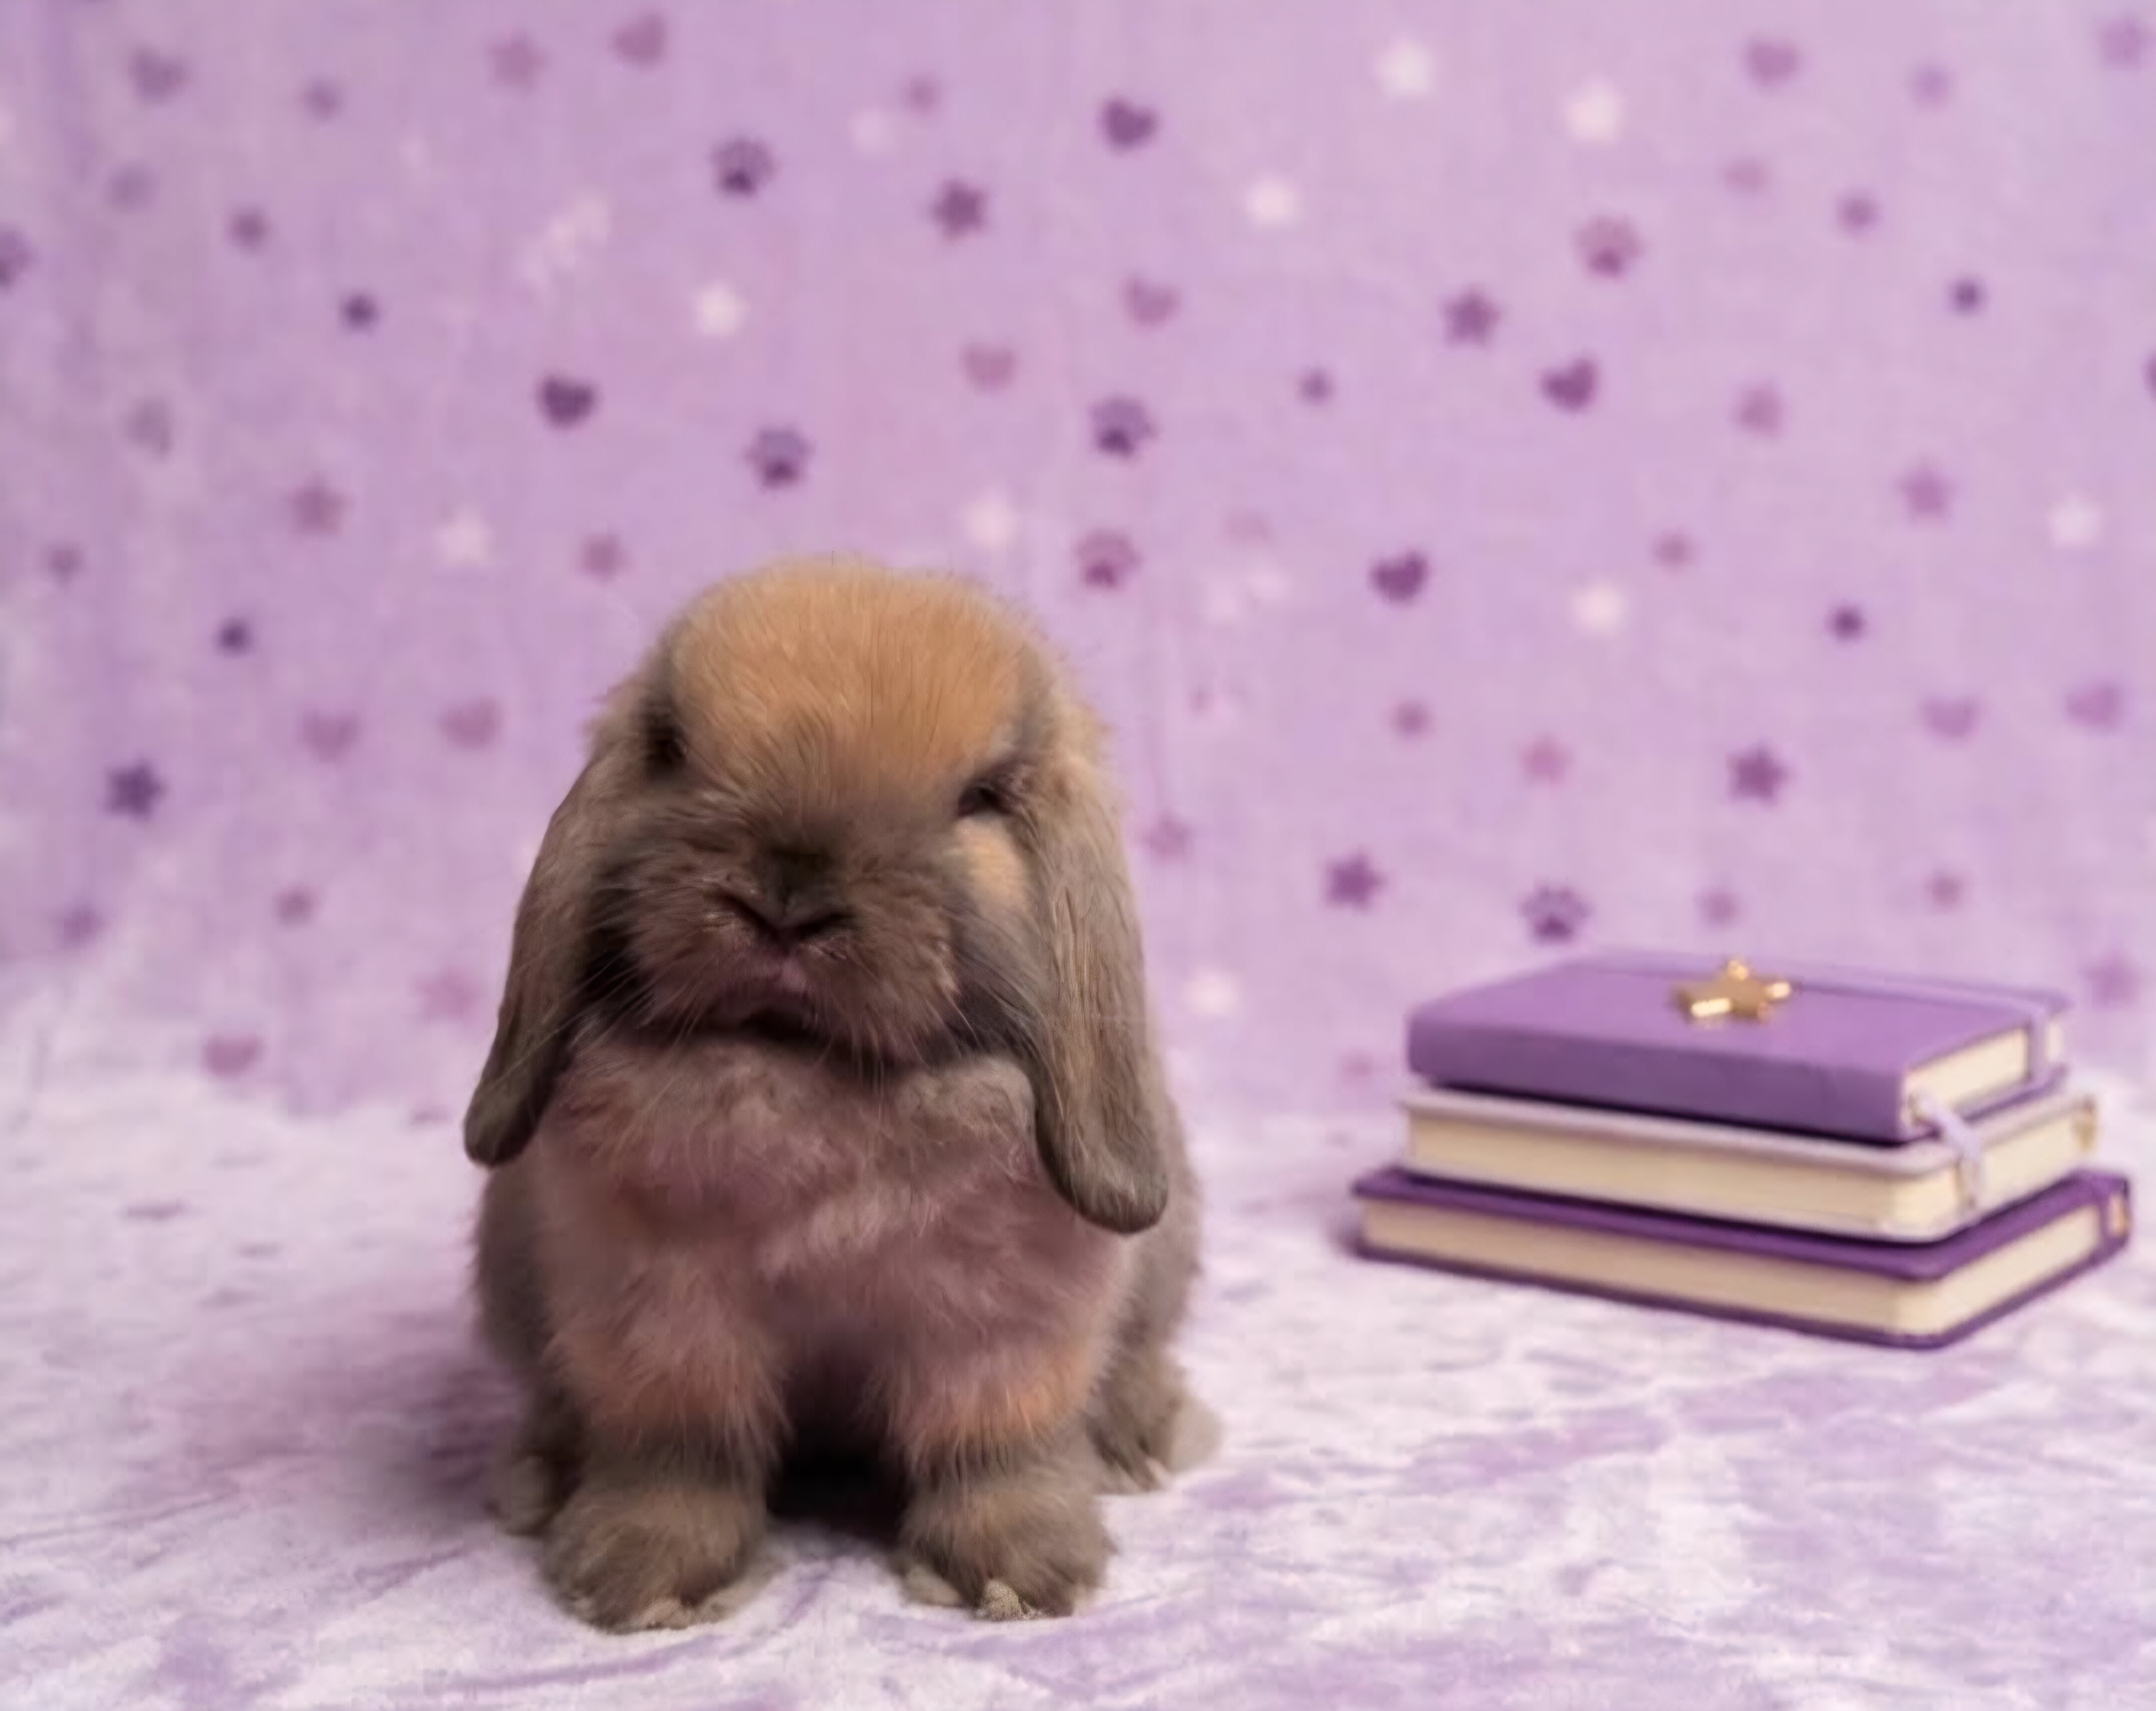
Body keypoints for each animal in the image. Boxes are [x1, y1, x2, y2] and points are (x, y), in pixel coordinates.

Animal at [463, 554, 1202, 1630]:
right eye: (671, 747)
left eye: (983, 796)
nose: (788, 895)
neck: (816, 1083)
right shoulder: (658, 1320)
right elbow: (679, 1451)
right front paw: (642, 1580)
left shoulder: (1002, 1328)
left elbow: (993, 1447)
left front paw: (1020, 1576)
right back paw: (538, 1476)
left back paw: (1146, 1441)